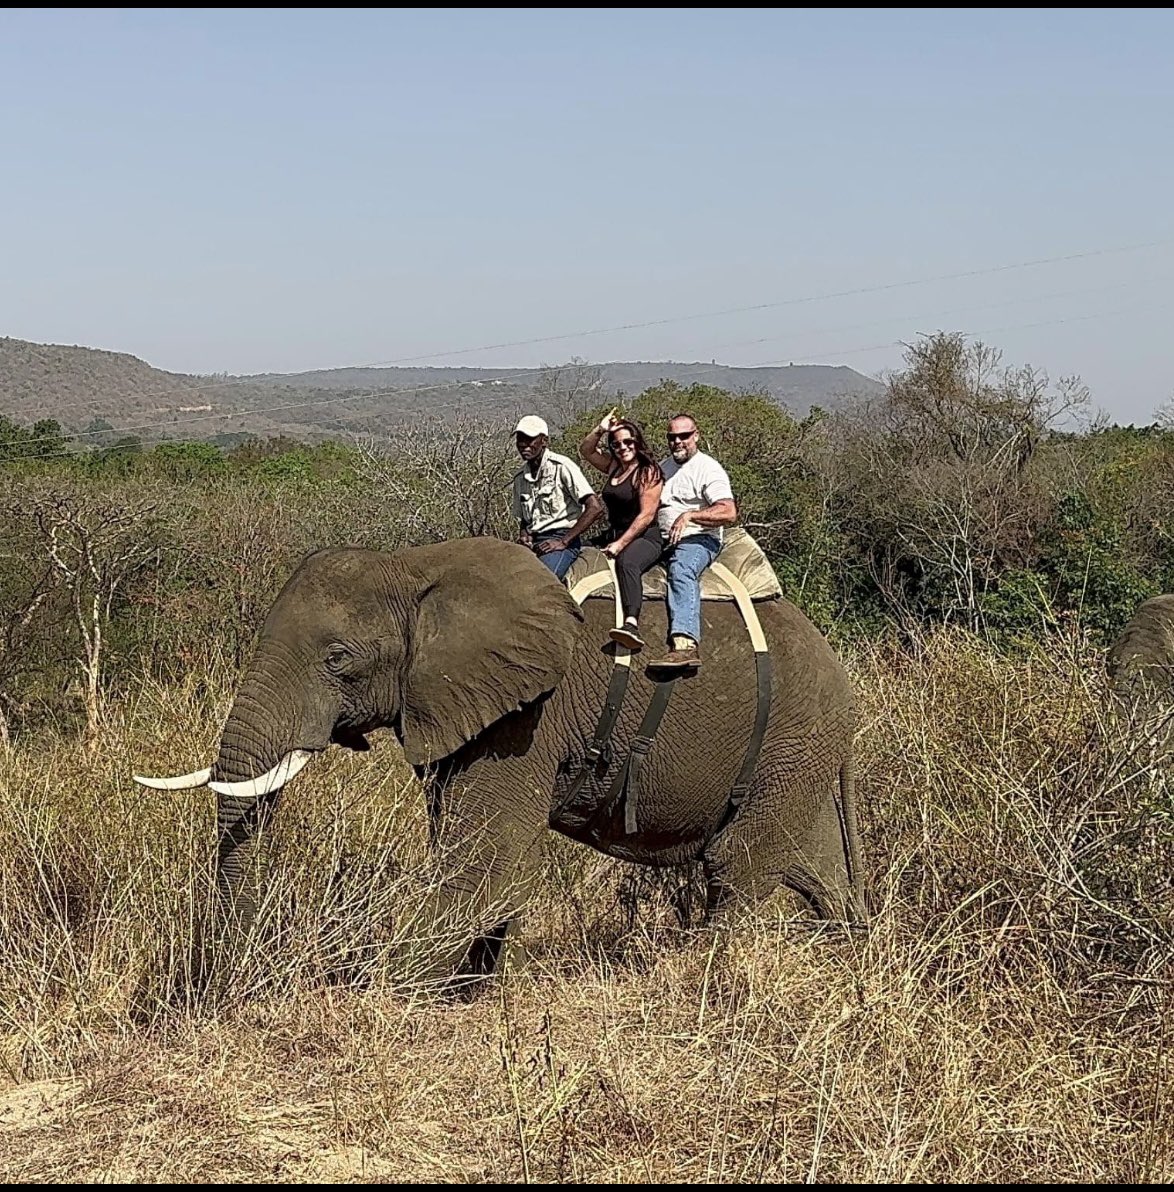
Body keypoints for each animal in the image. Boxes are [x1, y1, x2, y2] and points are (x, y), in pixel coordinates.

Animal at [138, 537, 863, 986]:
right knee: (818, 873)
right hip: (799, 753)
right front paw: (466, 991)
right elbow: (479, 864)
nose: (225, 988)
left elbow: (484, 865)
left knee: (735, 864)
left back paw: (705, 983)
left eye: (337, 659)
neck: (414, 570)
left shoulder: (526, 719)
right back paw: (853, 966)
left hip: (794, 737)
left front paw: (384, 998)